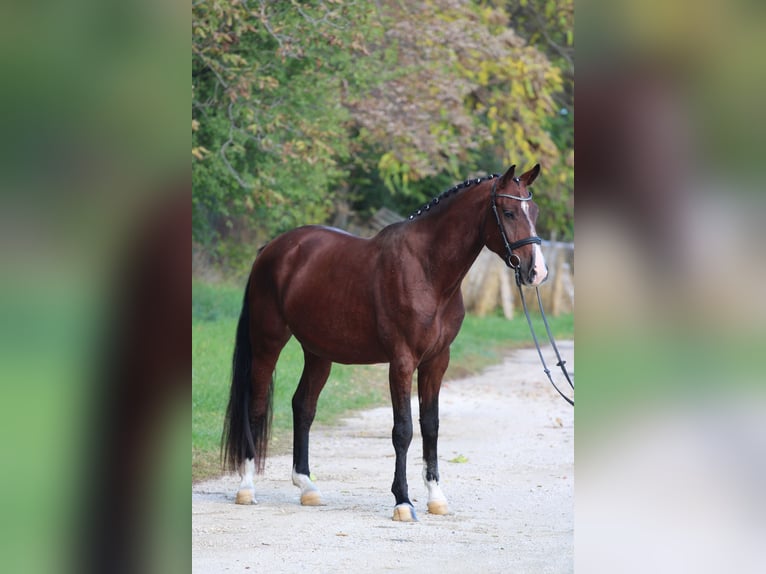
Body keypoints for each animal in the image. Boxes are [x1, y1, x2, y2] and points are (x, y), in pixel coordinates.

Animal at [225, 163, 548, 520]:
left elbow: (430, 425)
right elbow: (403, 429)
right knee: (256, 407)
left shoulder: (437, 361)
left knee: (303, 407)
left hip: (318, 352)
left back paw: (307, 487)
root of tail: (273, 248)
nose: (537, 271)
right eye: (508, 212)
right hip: (268, 341)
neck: (426, 269)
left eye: (534, 211)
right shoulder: (402, 361)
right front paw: (403, 501)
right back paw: (246, 487)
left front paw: (436, 497)